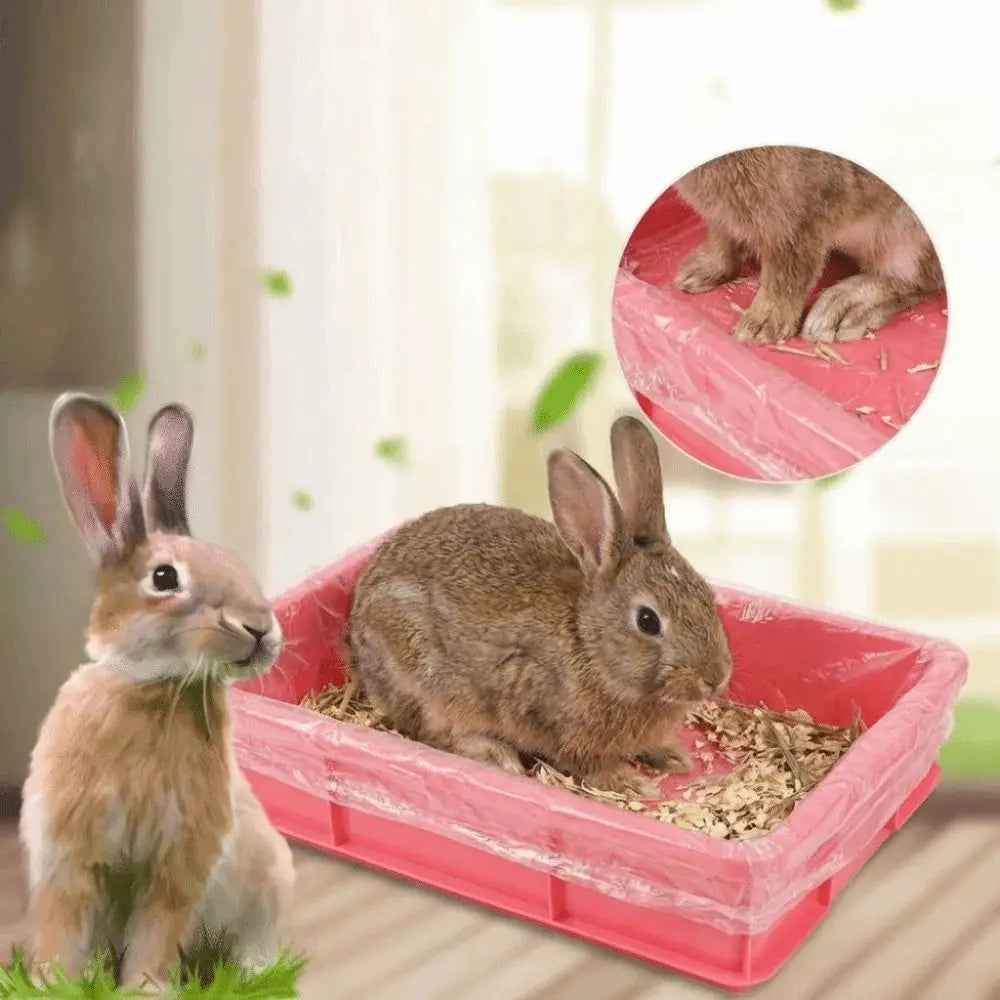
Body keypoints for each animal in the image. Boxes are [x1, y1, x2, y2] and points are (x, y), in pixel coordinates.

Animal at [19, 393, 295, 989]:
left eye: (234, 561)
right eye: (164, 579)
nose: (260, 628)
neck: (156, 686)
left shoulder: (180, 862)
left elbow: (157, 930)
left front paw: (144, 989)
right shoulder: (70, 856)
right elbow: (62, 923)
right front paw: (53, 983)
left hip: (268, 886)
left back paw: (253, 973)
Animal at [348, 415, 733, 798]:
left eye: (707, 595)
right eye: (648, 621)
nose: (715, 678)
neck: (588, 643)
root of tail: (355, 630)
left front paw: (670, 754)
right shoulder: (545, 717)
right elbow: (585, 764)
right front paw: (632, 783)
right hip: (422, 678)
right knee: (433, 731)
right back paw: (496, 754)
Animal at [671, 145, 944, 344]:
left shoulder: (795, 226)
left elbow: (786, 277)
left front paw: (759, 329)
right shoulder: (719, 215)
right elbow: (720, 237)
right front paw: (695, 274)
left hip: (903, 241)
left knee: (920, 283)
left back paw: (838, 312)